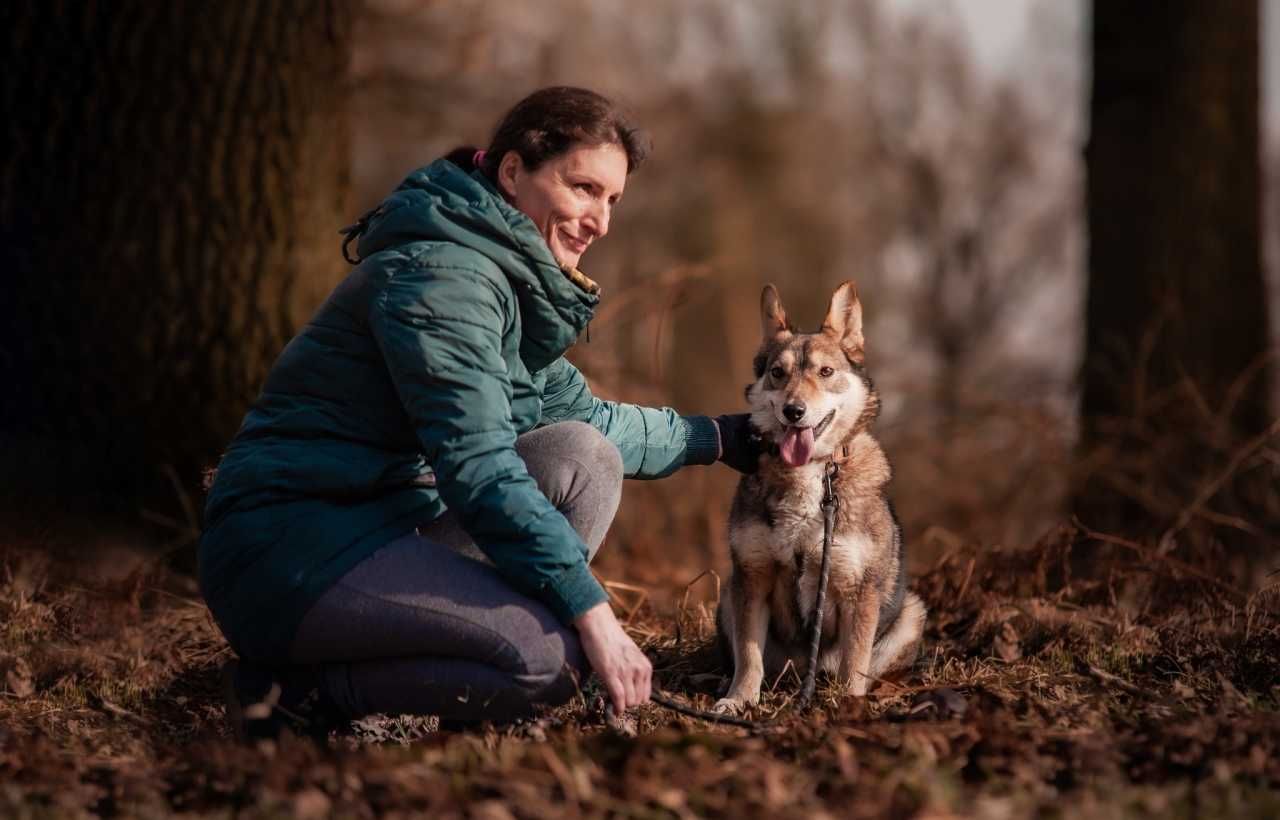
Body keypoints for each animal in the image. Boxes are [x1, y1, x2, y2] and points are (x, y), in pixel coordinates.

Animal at [716, 281, 926, 711]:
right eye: (777, 373)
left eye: (825, 372)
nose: (794, 411)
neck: (809, 472)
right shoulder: (752, 577)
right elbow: (749, 656)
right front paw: (739, 700)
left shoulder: (858, 591)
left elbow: (855, 661)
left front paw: (848, 703)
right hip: (727, 595)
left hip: (912, 612)